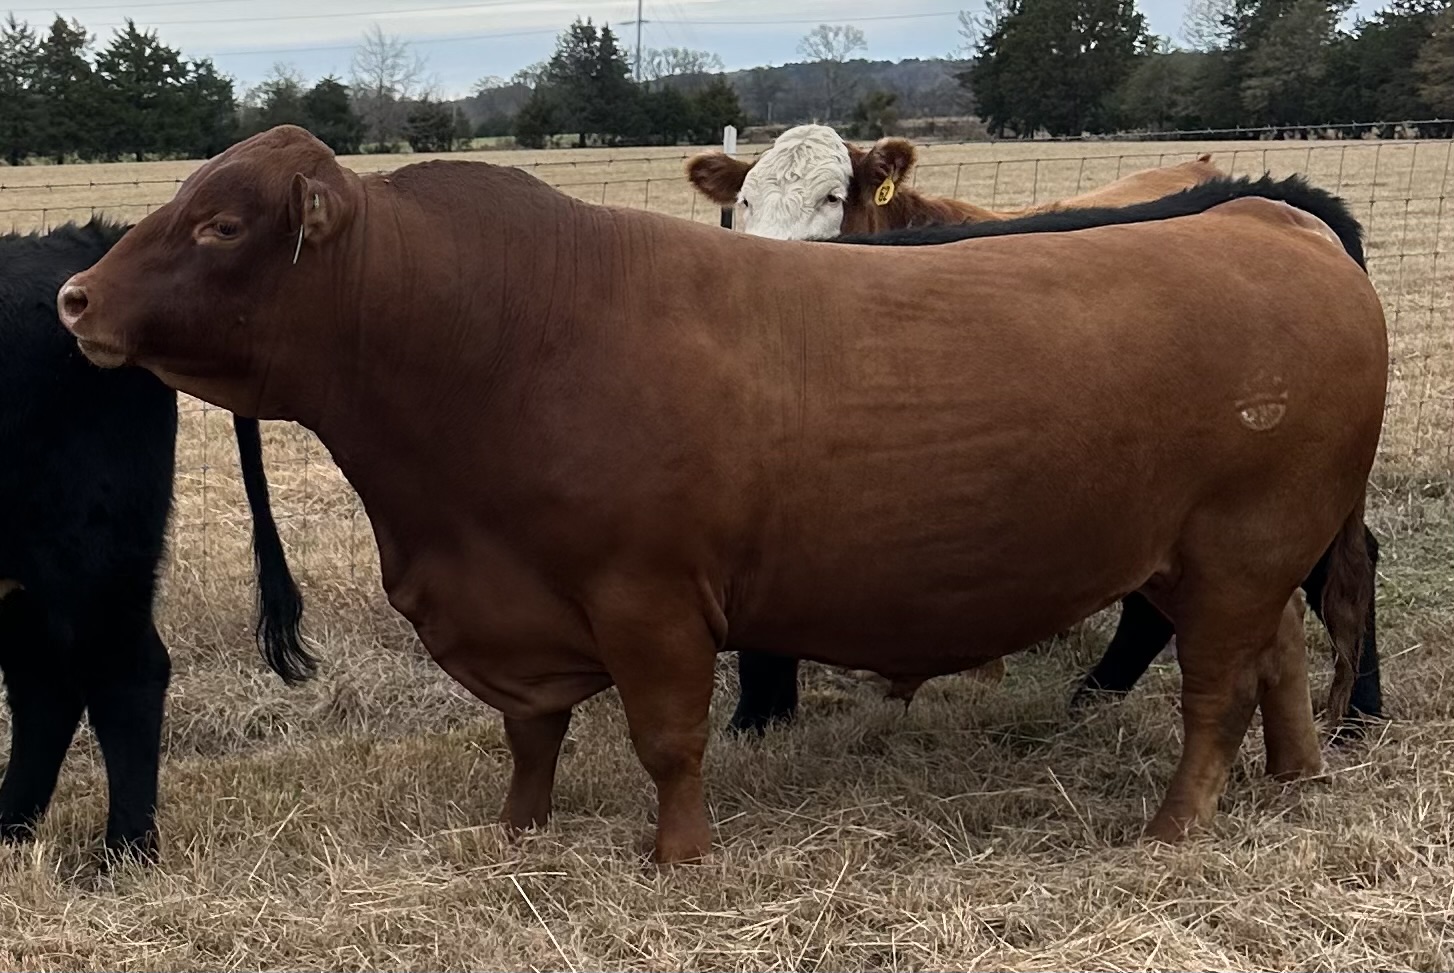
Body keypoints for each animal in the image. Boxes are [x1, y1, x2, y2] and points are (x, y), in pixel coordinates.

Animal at [690, 125, 1386, 739]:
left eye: (833, 198)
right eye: (743, 200)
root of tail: (1276, 202)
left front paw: (755, 721)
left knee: (1338, 571)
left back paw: (1357, 714)